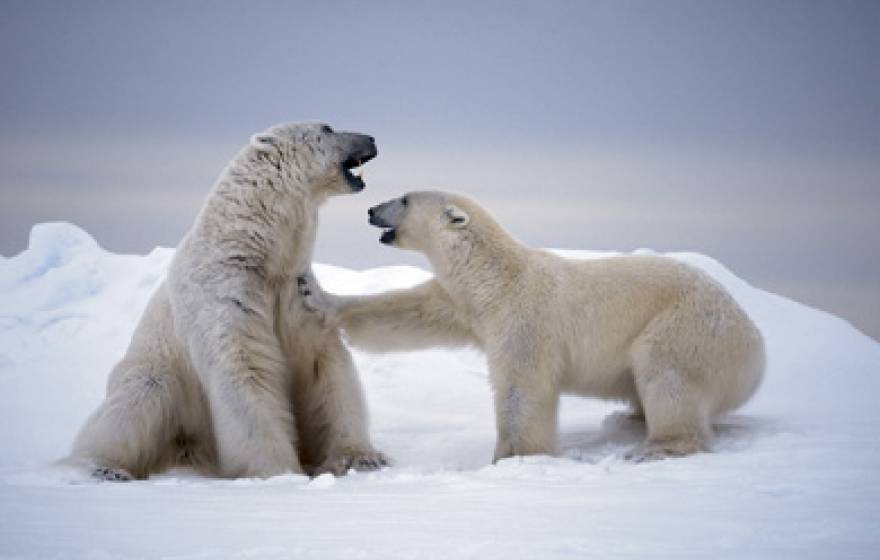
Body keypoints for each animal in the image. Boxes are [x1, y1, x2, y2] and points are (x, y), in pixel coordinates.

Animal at [67, 122, 388, 480]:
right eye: (327, 128)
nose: (372, 137)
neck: (254, 252)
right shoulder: (226, 294)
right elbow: (246, 368)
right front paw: (278, 471)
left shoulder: (295, 294)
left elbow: (324, 366)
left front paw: (360, 457)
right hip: (156, 370)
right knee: (135, 403)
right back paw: (104, 467)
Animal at [298, 190, 766, 462]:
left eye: (405, 199)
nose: (371, 209)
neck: (498, 278)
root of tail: (756, 350)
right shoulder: (466, 306)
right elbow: (408, 313)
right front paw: (313, 292)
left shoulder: (525, 319)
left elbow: (522, 388)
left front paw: (512, 457)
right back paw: (630, 418)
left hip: (689, 327)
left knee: (664, 370)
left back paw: (658, 445)